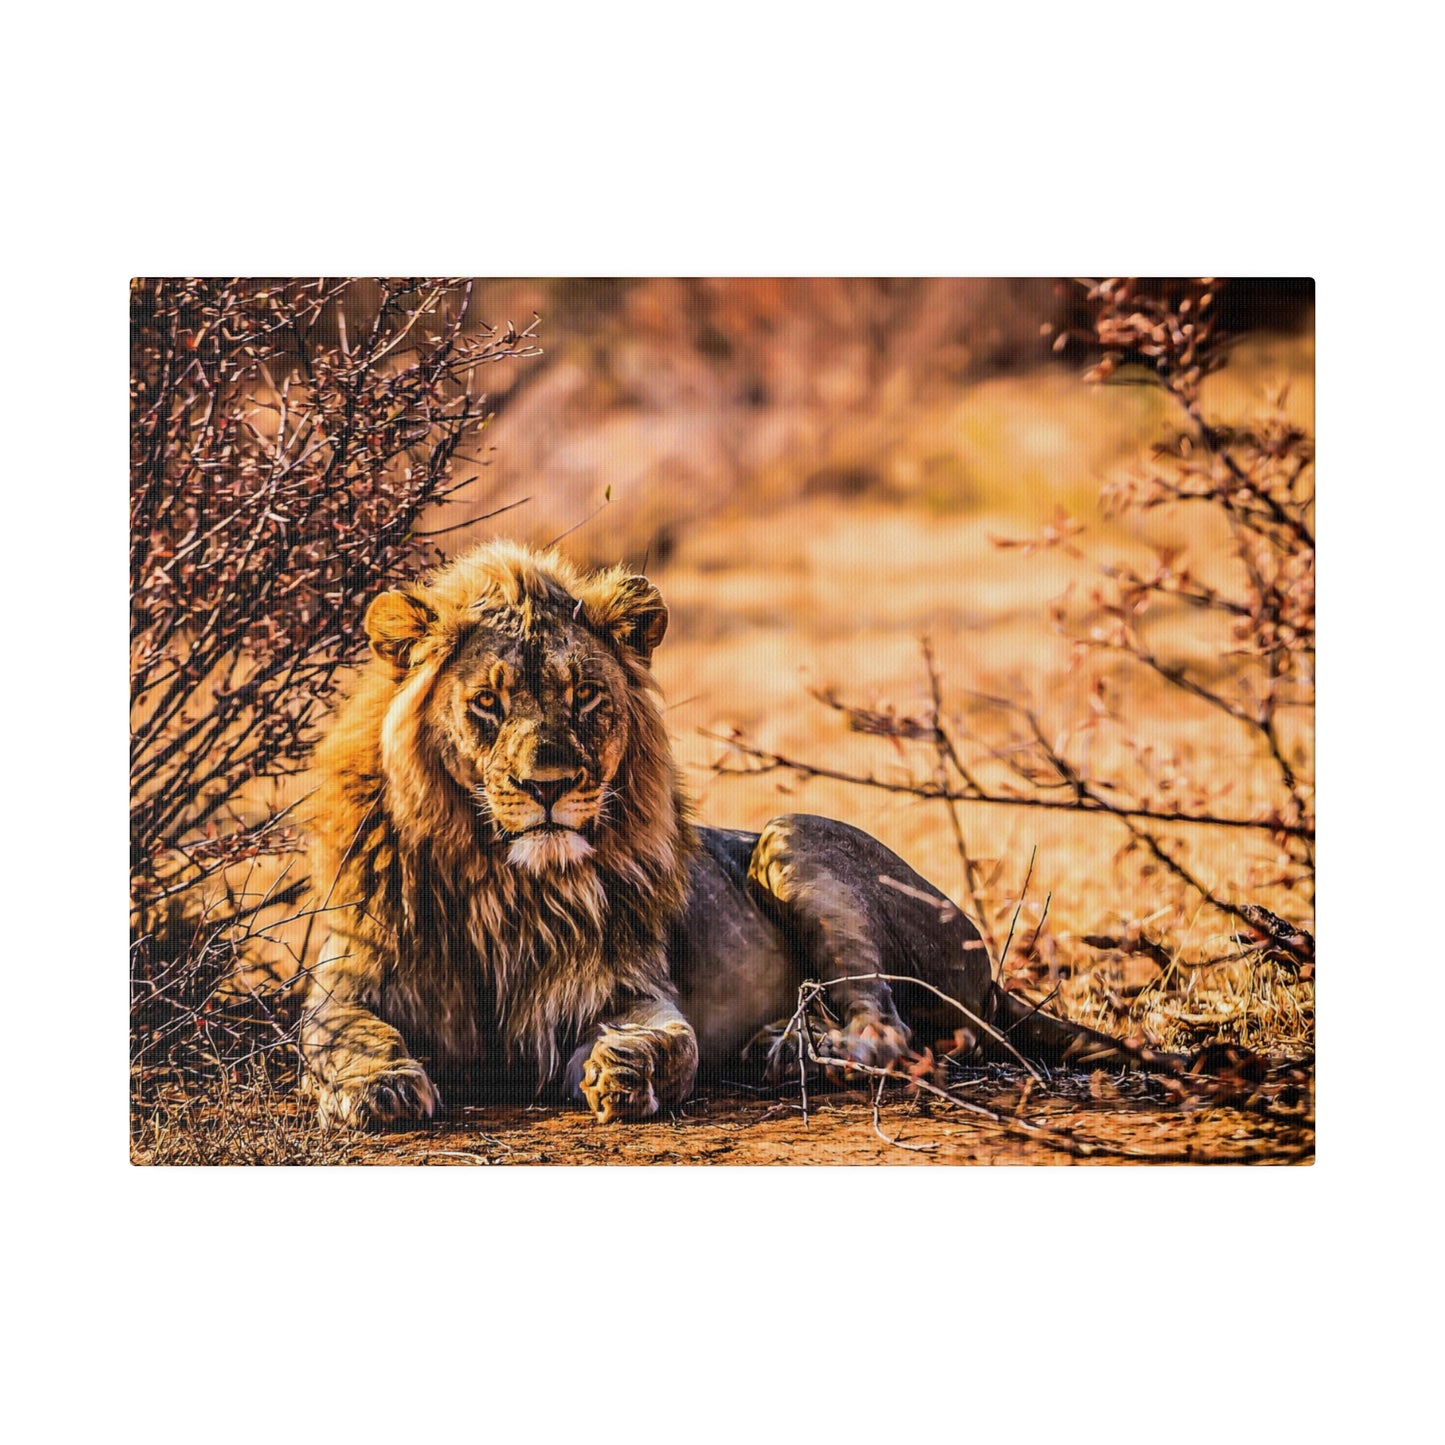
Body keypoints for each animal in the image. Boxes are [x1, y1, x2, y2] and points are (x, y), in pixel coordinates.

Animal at [304, 543, 1173, 1127]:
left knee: (889, 1030)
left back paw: (789, 1050)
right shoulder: (345, 982)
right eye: (487, 702)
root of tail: (991, 973)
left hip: (792, 840)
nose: (547, 787)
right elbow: (341, 1036)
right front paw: (379, 1087)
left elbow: (674, 1042)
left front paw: (626, 1072)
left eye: (584, 696)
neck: (502, 881)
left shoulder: (627, 990)